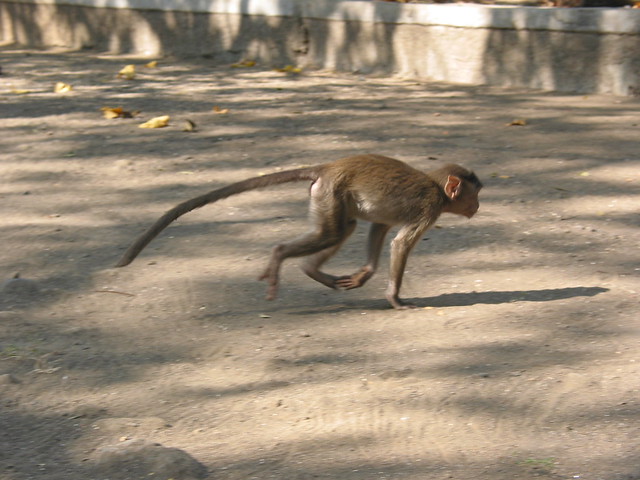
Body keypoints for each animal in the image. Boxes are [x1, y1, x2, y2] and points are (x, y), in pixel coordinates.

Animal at [115, 154, 482, 309]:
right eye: (474, 195)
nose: (478, 207)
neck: (436, 188)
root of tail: (328, 167)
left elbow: (379, 228)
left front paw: (365, 274)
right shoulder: (429, 210)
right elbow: (401, 244)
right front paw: (395, 299)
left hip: (328, 196)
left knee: (343, 228)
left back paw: (311, 270)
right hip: (330, 193)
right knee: (332, 233)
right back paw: (280, 257)